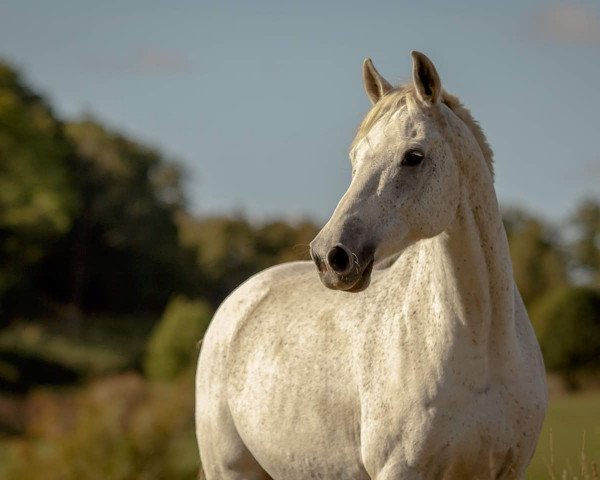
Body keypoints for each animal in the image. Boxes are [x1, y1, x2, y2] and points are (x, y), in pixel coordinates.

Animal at [197, 52, 548, 480]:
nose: (330, 256)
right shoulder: (399, 470)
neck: (482, 344)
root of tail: (241, 299)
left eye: (414, 157)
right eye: (355, 159)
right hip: (229, 469)